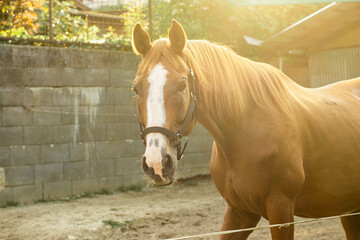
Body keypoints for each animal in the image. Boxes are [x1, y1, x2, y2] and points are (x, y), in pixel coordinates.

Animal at [131, 19, 360, 239]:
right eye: (135, 88)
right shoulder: (239, 213)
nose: (156, 163)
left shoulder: (281, 211)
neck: (244, 131)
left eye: (182, 85)